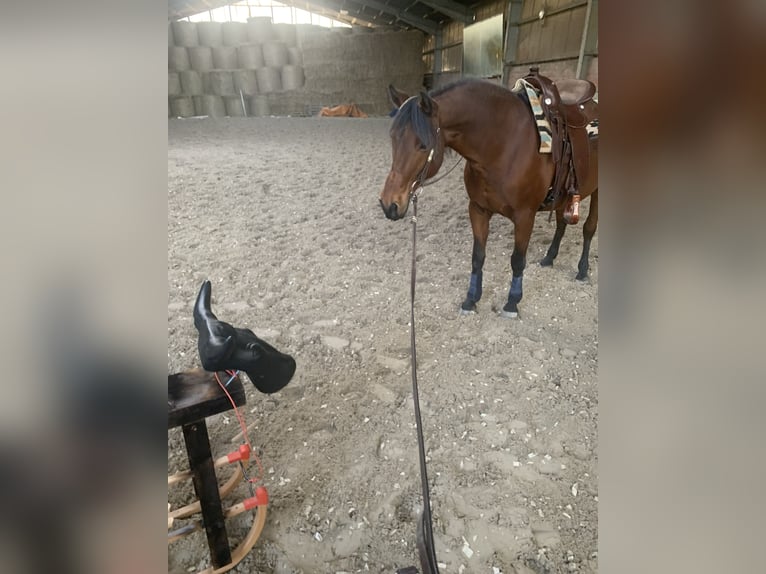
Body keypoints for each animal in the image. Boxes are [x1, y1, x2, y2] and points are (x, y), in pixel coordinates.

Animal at [379, 78, 598, 317]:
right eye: (392, 138)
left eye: (423, 145)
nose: (389, 204)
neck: (503, 146)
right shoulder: (478, 209)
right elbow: (477, 257)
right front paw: (471, 299)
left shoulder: (525, 216)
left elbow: (517, 260)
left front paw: (512, 302)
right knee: (561, 224)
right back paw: (549, 258)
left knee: (589, 229)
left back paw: (582, 270)